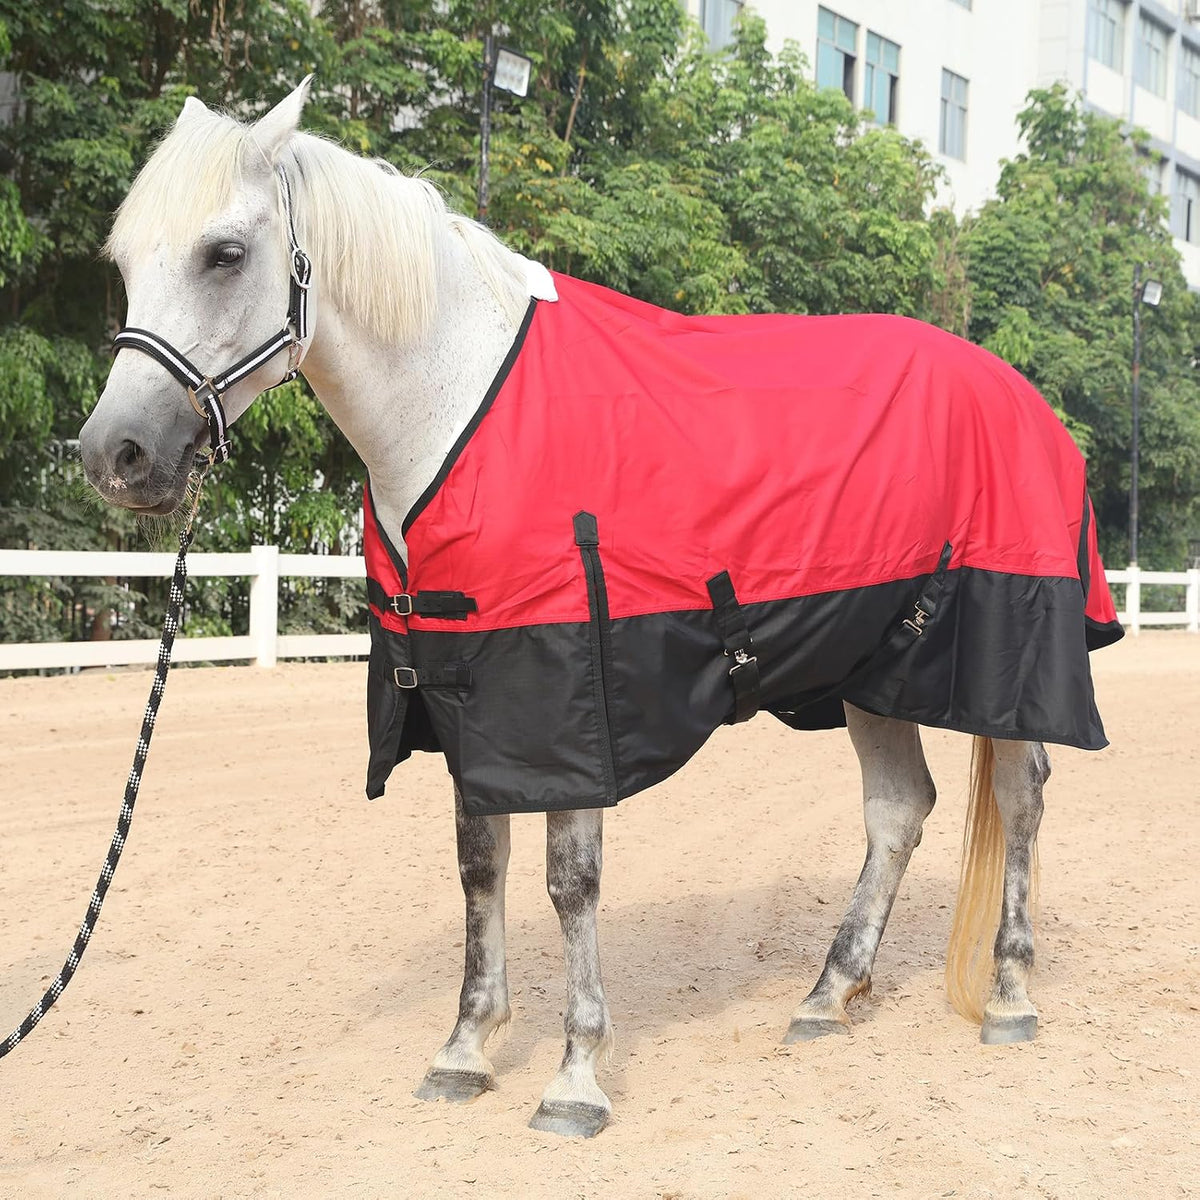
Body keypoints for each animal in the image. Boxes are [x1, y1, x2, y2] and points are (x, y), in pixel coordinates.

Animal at [80, 80, 1121, 1139]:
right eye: (122, 262)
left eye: (224, 253)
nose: (115, 455)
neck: (460, 408)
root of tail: (1022, 394)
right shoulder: (465, 693)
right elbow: (481, 868)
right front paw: (465, 1049)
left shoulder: (567, 699)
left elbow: (567, 881)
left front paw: (576, 1075)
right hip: (870, 666)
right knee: (898, 811)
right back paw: (829, 994)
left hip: (1001, 658)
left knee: (1022, 796)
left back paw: (1009, 995)